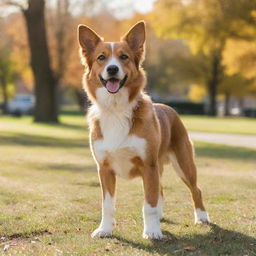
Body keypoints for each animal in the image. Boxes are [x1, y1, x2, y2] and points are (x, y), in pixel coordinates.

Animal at [77, 21, 209, 239]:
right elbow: (108, 205)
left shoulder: (148, 166)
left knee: (195, 190)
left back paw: (201, 217)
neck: (117, 109)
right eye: (101, 57)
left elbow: (149, 204)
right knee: (161, 190)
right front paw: (105, 229)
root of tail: (169, 108)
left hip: (183, 164)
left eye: (124, 57)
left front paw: (152, 231)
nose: (112, 69)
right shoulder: (104, 168)